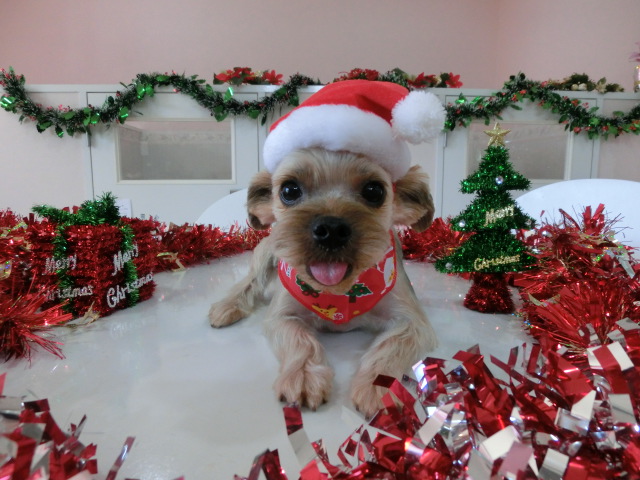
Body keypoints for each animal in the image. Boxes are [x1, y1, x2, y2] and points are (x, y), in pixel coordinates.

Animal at [208, 147, 438, 417]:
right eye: (289, 190)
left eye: (374, 191)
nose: (331, 229)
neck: (340, 293)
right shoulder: (281, 315)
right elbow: (300, 338)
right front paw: (305, 375)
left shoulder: (412, 320)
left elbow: (392, 345)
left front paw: (379, 385)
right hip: (267, 250)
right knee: (251, 280)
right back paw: (228, 306)